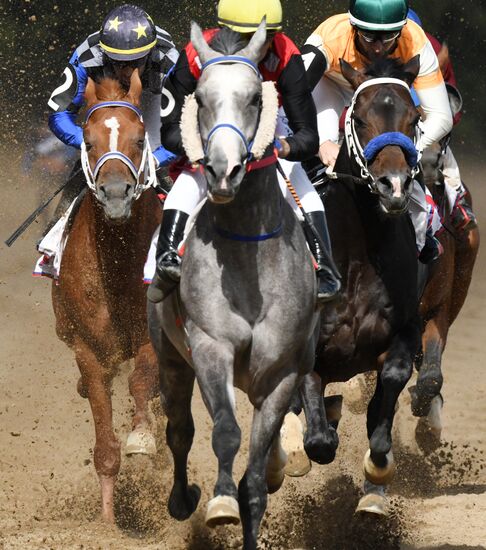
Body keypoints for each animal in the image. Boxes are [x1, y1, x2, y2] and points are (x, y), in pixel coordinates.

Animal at [148, 21, 318, 550]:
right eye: (200, 99)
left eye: (256, 99)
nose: (223, 171)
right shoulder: (209, 346)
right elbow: (225, 431)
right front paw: (220, 502)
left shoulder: (283, 371)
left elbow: (257, 483)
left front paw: (255, 491)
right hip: (169, 356)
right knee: (179, 430)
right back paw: (181, 498)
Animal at [284, 56, 426, 516]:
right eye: (359, 118)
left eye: (415, 118)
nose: (393, 185)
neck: (361, 258)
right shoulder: (307, 353)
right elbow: (318, 439)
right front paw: (302, 448)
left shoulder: (404, 329)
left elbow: (393, 379)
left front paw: (378, 466)